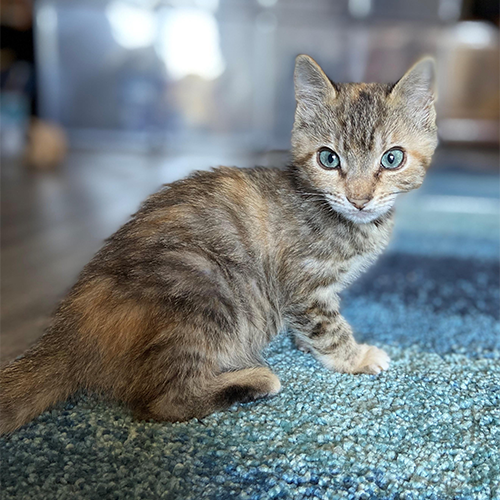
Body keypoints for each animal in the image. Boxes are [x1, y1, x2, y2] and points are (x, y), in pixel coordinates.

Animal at [0, 54, 438, 434]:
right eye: (329, 159)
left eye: (392, 158)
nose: (359, 199)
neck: (345, 222)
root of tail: (69, 332)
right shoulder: (303, 286)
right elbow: (329, 328)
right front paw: (356, 356)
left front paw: (307, 346)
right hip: (205, 284)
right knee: (160, 402)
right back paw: (254, 380)